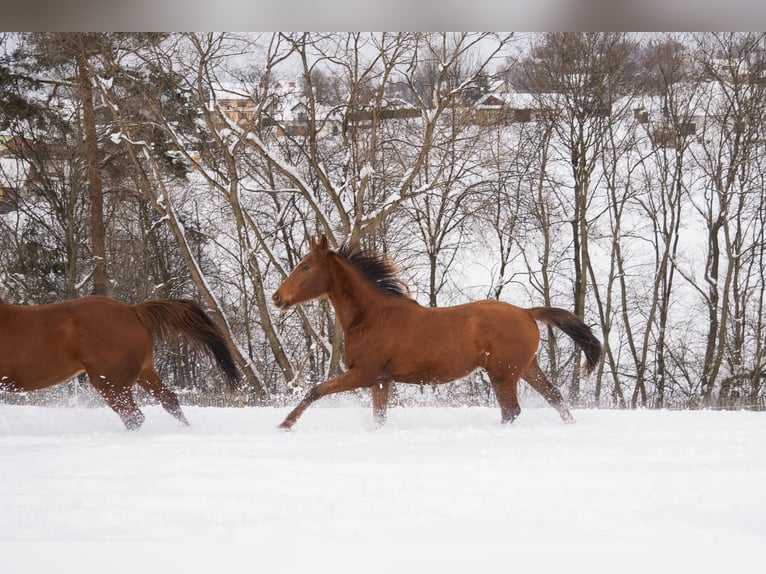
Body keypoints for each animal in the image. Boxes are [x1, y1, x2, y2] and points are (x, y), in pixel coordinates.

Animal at [272, 235, 603, 429]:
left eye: (306, 266)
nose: (277, 297)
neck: (370, 316)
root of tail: (526, 312)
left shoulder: (363, 373)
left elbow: (316, 390)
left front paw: (285, 424)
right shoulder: (381, 381)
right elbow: (379, 417)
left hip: (503, 374)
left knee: (512, 410)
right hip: (525, 368)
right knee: (554, 396)